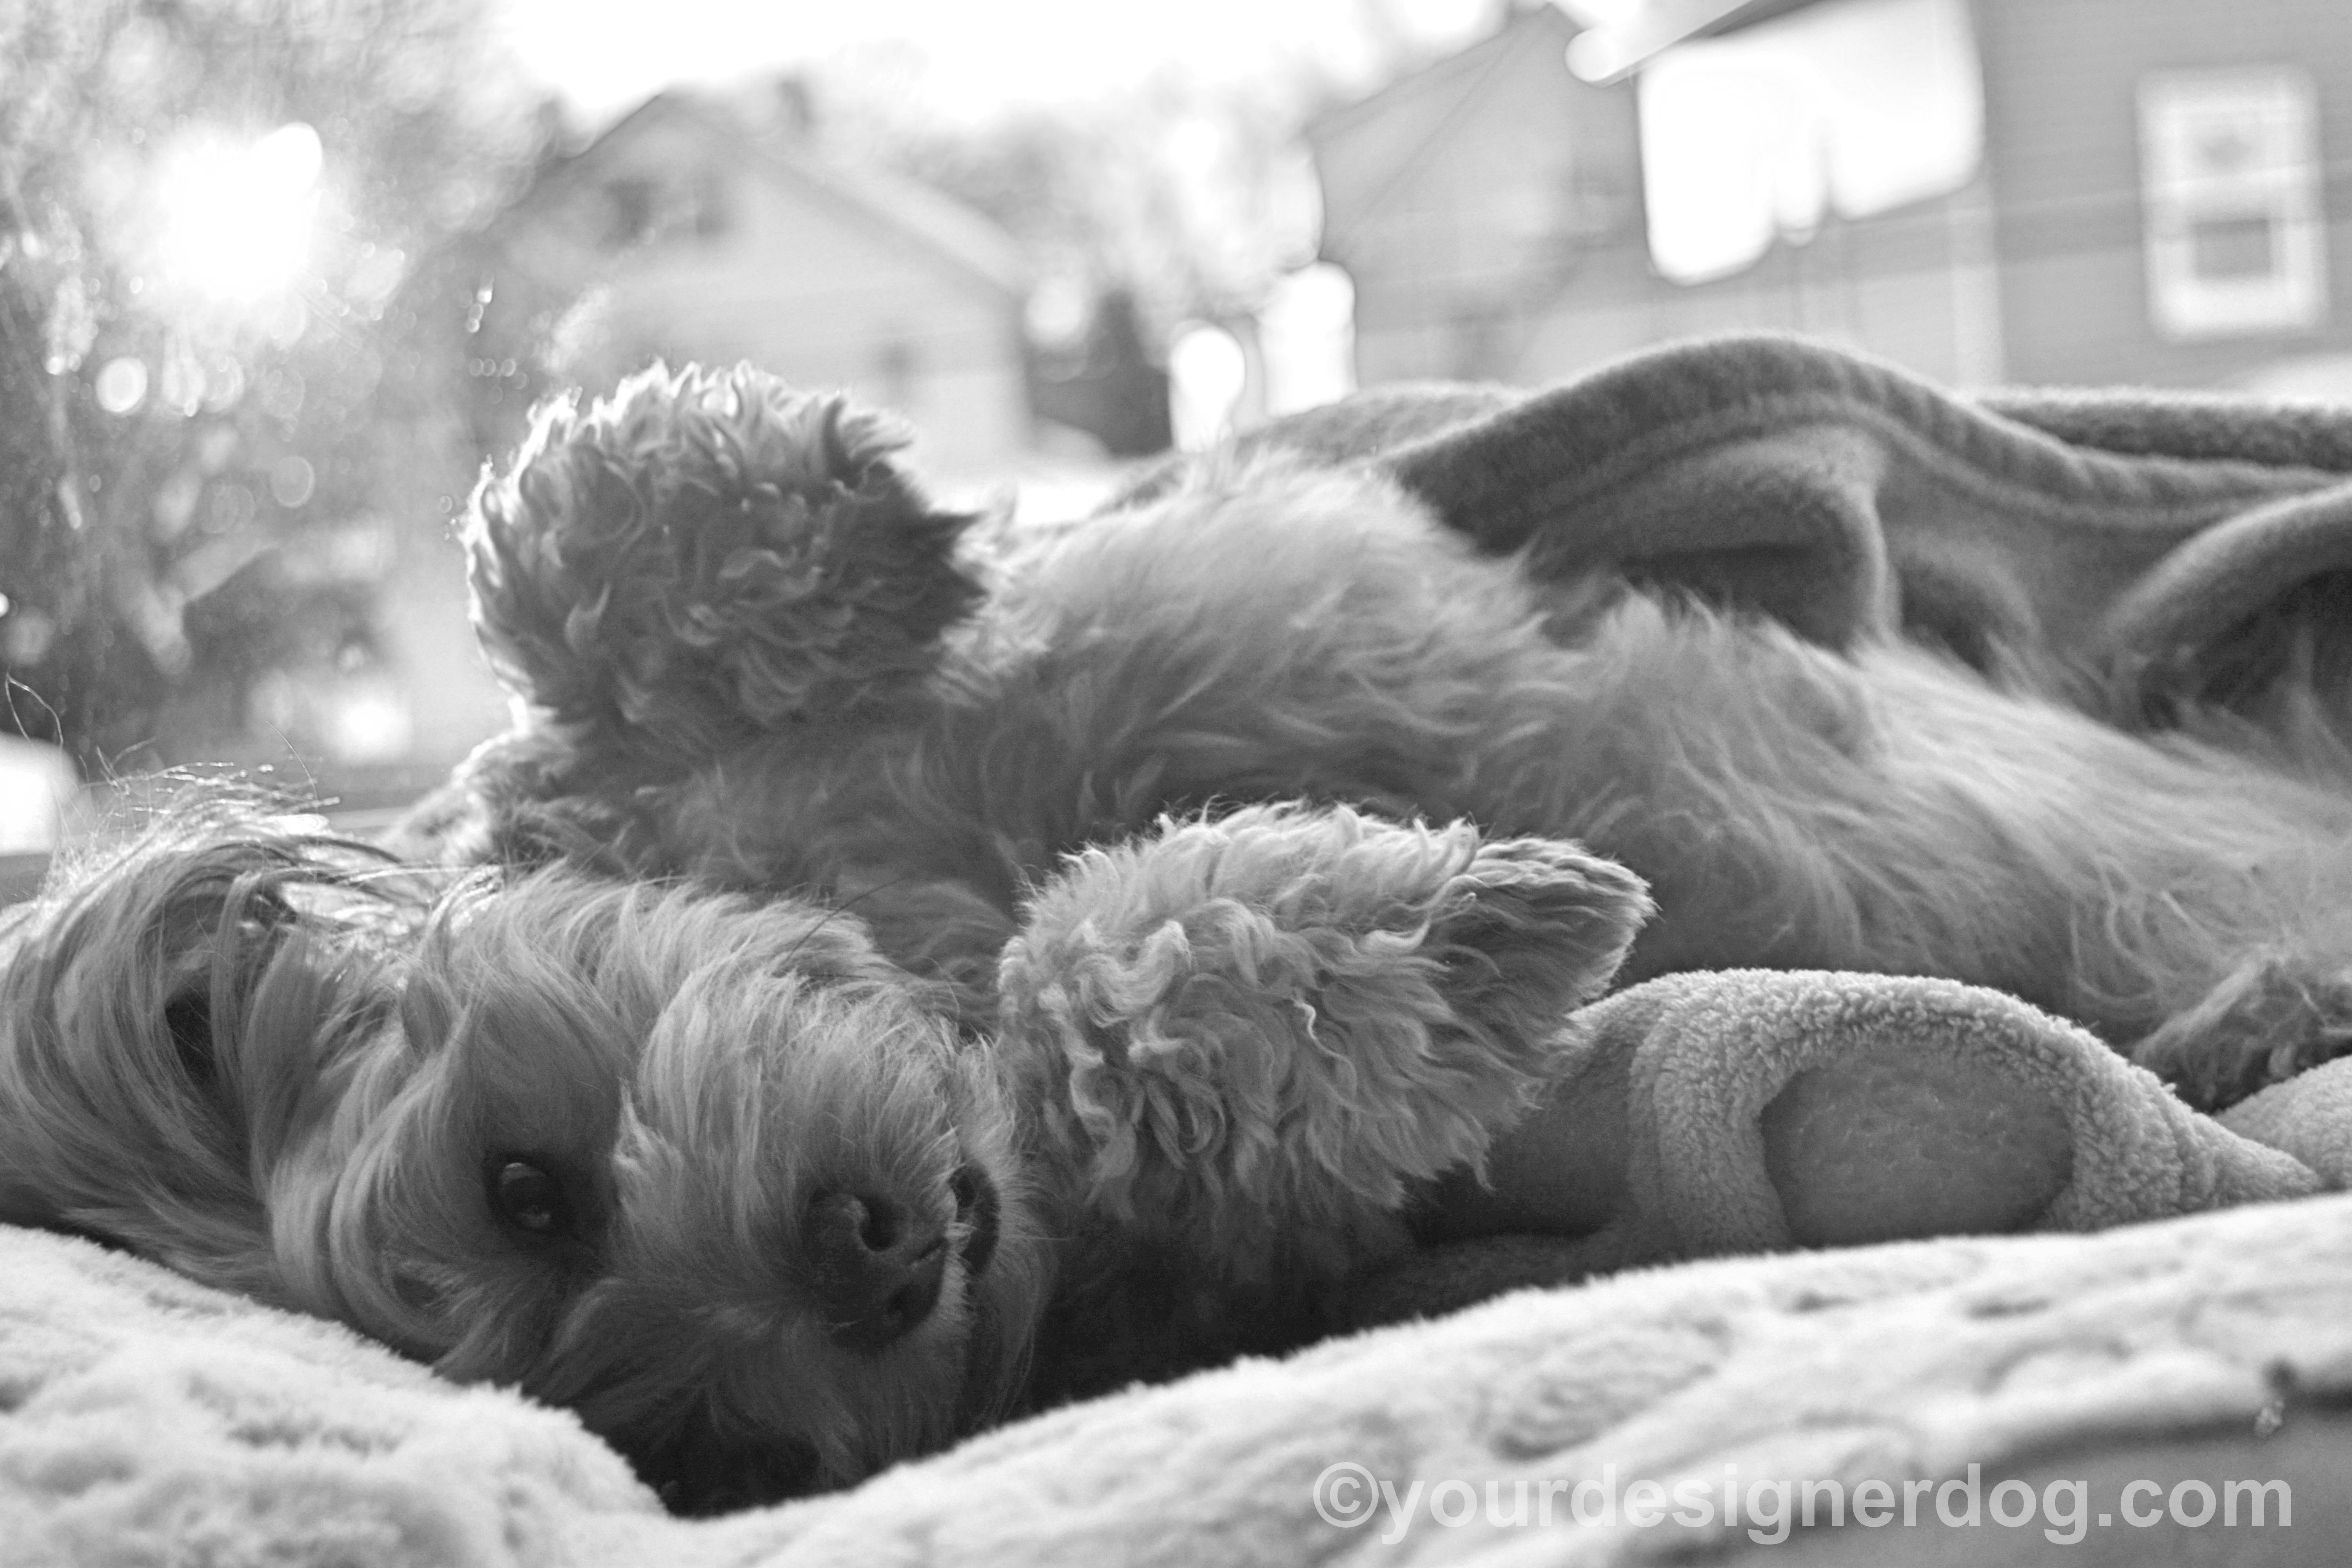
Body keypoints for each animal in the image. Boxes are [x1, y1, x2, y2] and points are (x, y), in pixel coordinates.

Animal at [4, 362, 2352, 1514]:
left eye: (527, 1179)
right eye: (700, 1454)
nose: (865, 1265)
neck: (913, 896)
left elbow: (570, 566)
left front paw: (823, 526)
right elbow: (1138, 1002)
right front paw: (1449, 940)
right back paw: (2255, 1015)